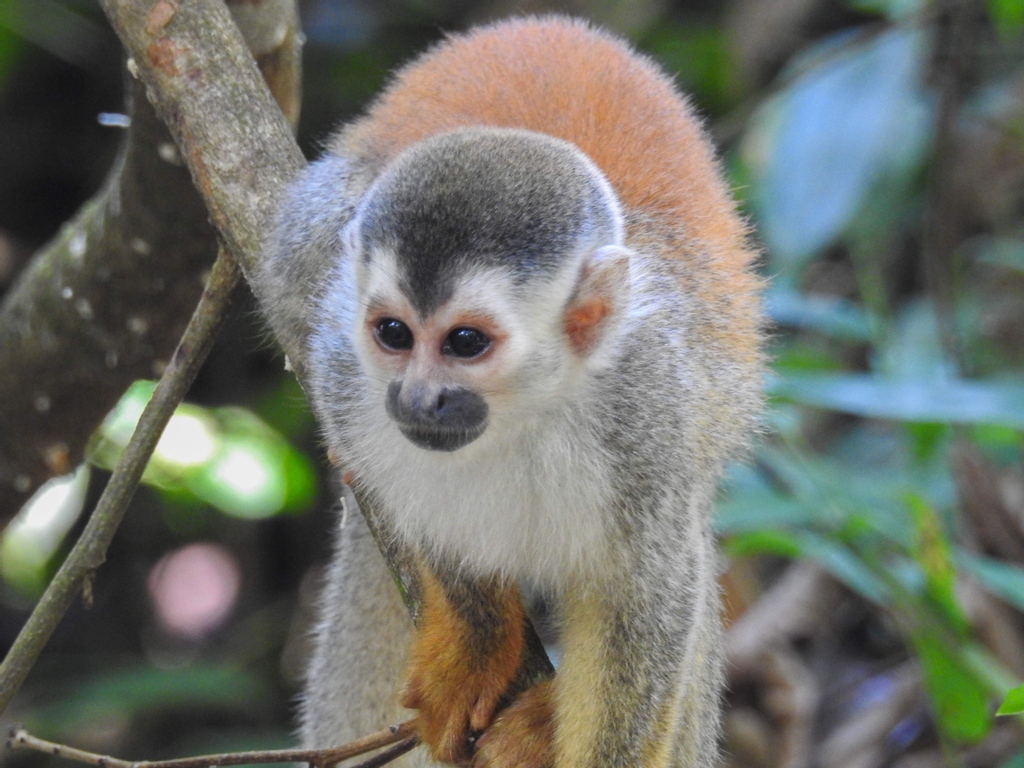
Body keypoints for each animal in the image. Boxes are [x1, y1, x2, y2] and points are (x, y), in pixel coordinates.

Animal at [258, 15, 763, 768]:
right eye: (393, 334)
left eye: (466, 343)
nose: (417, 399)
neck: (524, 413)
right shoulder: (340, 369)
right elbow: (423, 517)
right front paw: (478, 638)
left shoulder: (649, 412)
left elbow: (649, 593)